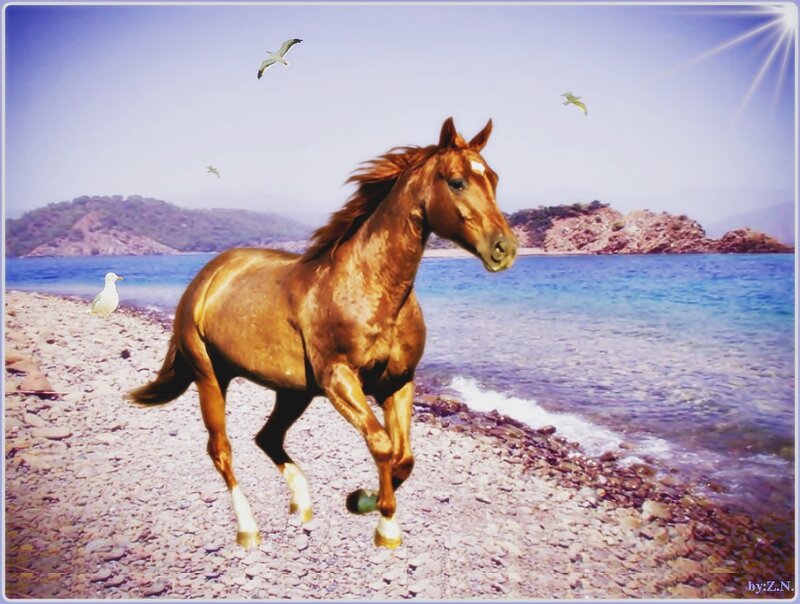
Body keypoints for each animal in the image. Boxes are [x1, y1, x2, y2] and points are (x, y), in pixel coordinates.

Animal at [129, 117, 518, 549]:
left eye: (493, 178)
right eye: (456, 182)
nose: (504, 248)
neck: (369, 287)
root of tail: (207, 276)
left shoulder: (398, 381)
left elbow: (404, 457)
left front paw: (363, 500)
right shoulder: (339, 378)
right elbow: (382, 444)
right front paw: (382, 521)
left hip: (293, 391)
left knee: (267, 437)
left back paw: (302, 502)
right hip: (211, 376)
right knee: (222, 450)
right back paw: (248, 528)